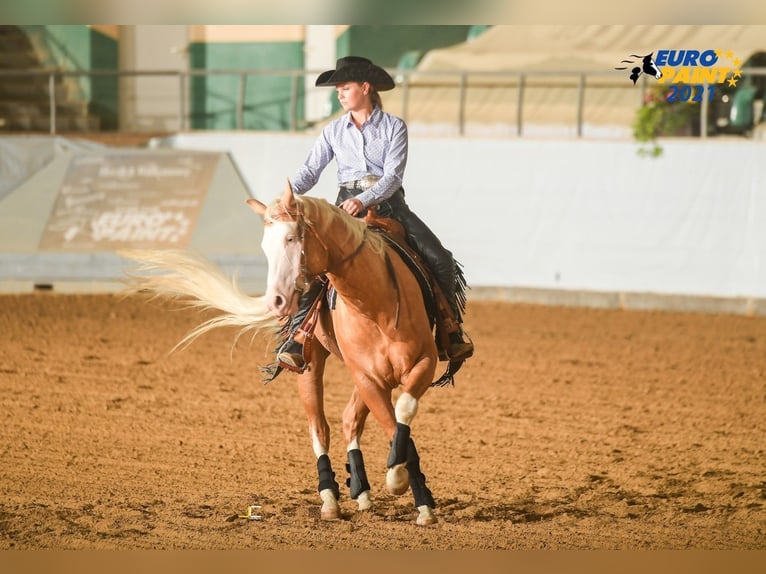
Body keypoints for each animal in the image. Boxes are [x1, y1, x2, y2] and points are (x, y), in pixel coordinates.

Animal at [122, 181, 448, 526]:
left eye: (292, 238)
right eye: (265, 246)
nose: (276, 300)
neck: (376, 305)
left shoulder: (421, 364)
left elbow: (402, 414)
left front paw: (419, 499)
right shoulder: (368, 379)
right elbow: (393, 425)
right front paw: (398, 480)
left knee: (350, 419)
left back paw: (361, 491)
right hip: (311, 365)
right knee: (320, 428)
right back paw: (330, 499)